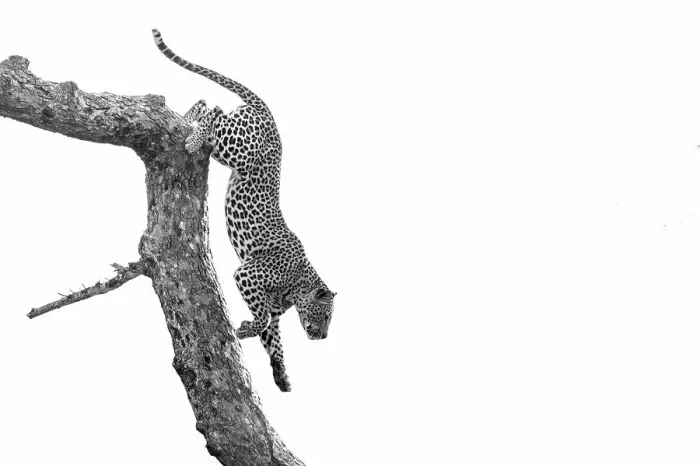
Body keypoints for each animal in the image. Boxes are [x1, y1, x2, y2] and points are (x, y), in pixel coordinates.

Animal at [153, 29, 336, 392]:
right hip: (237, 149)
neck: (298, 286)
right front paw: (243, 330)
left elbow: (272, 336)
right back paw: (194, 138)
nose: (322, 337)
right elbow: (262, 320)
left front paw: (281, 373)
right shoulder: (248, 275)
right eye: (325, 316)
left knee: (207, 103)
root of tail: (269, 115)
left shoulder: (271, 306)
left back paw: (188, 122)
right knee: (214, 109)